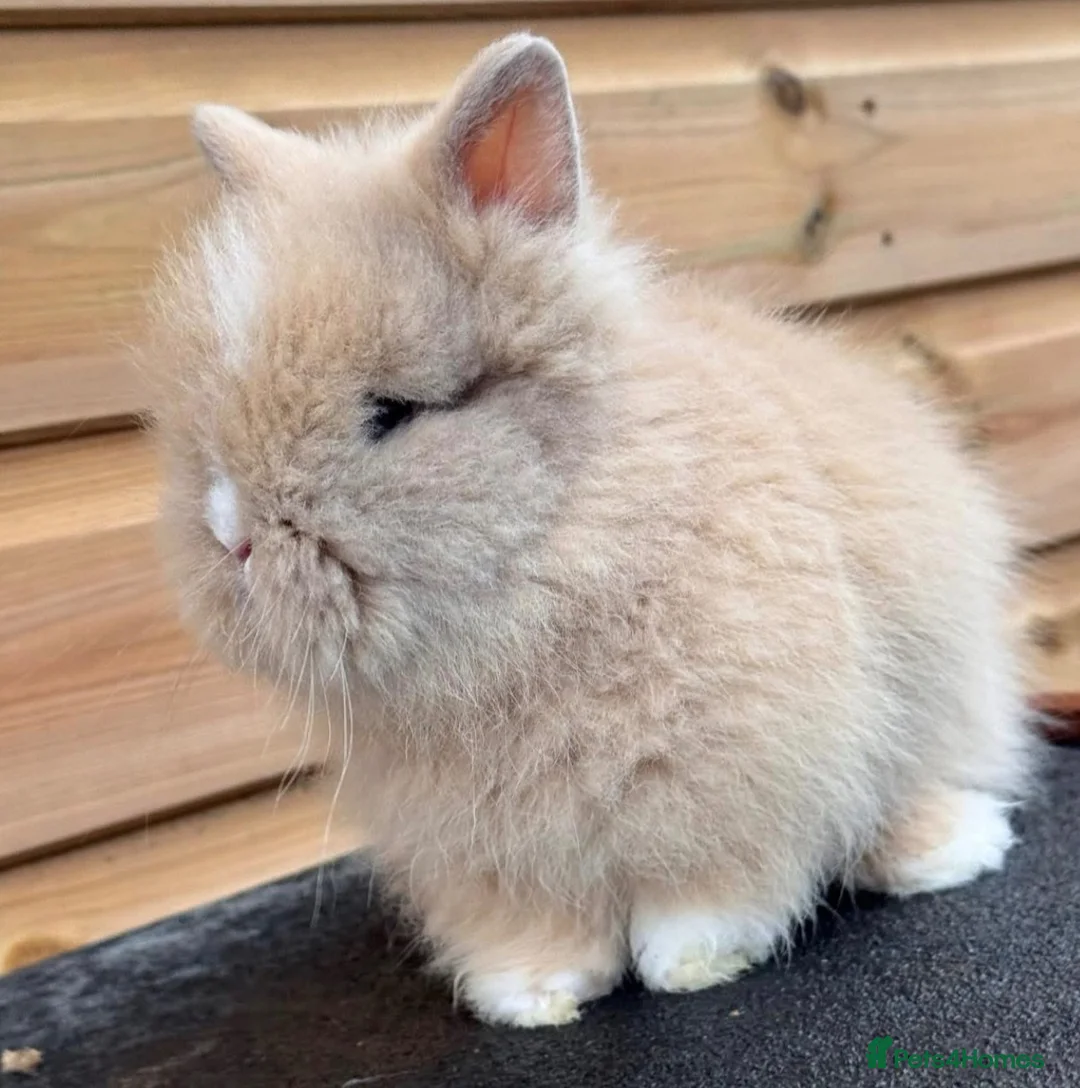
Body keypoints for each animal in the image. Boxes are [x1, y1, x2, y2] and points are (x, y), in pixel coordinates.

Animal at [143, 33, 1036, 1028]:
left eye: (390, 413)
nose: (233, 538)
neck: (554, 558)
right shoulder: (488, 849)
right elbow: (543, 923)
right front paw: (533, 996)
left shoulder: (745, 773)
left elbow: (715, 888)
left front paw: (690, 961)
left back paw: (954, 848)